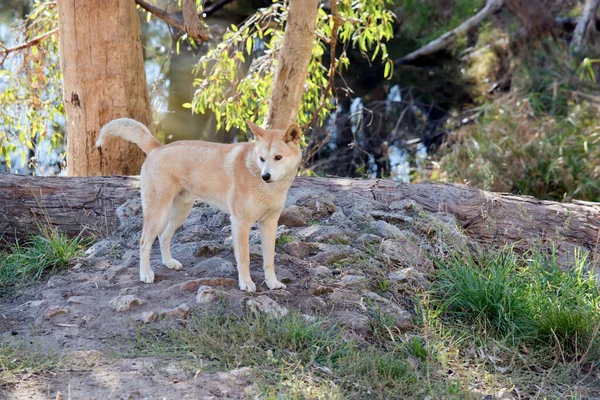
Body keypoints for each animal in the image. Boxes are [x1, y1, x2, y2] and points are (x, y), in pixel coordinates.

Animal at [96, 117, 302, 292]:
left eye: (278, 157)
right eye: (262, 159)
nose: (265, 176)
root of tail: (158, 147)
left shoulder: (270, 223)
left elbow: (269, 260)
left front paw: (272, 283)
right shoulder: (240, 223)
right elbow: (244, 259)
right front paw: (245, 283)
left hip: (181, 211)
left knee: (163, 236)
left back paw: (169, 262)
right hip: (159, 212)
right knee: (144, 242)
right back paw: (145, 274)